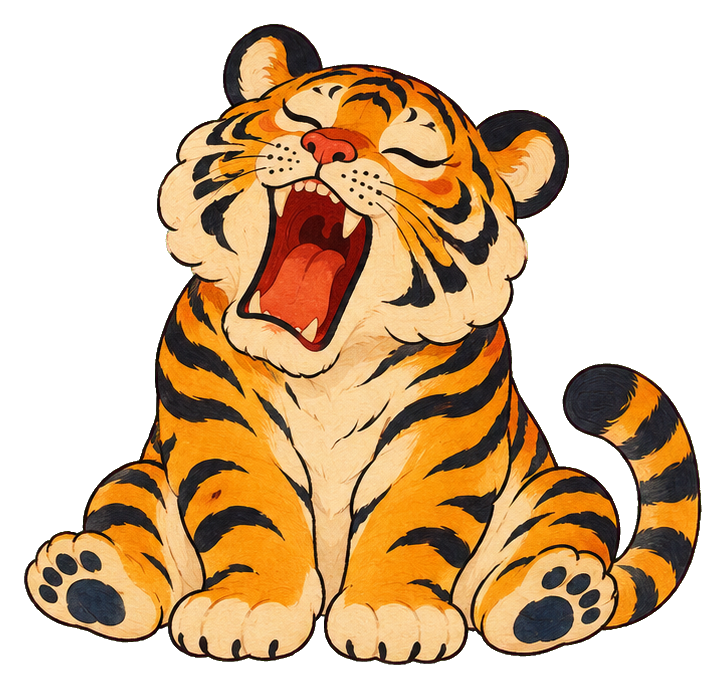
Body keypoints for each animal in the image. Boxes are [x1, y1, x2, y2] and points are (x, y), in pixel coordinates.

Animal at [26, 25, 699, 662]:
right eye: (304, 117)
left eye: (411, 154)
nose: (328, 147)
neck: (328, 368)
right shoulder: (224, 423)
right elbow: (251, 511)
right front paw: (247, 609)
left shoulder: (439, 435)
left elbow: (412, 524)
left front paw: (392, 616)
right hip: (136, 478)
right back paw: (87, 582)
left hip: (562, 489)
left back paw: (556, 601)